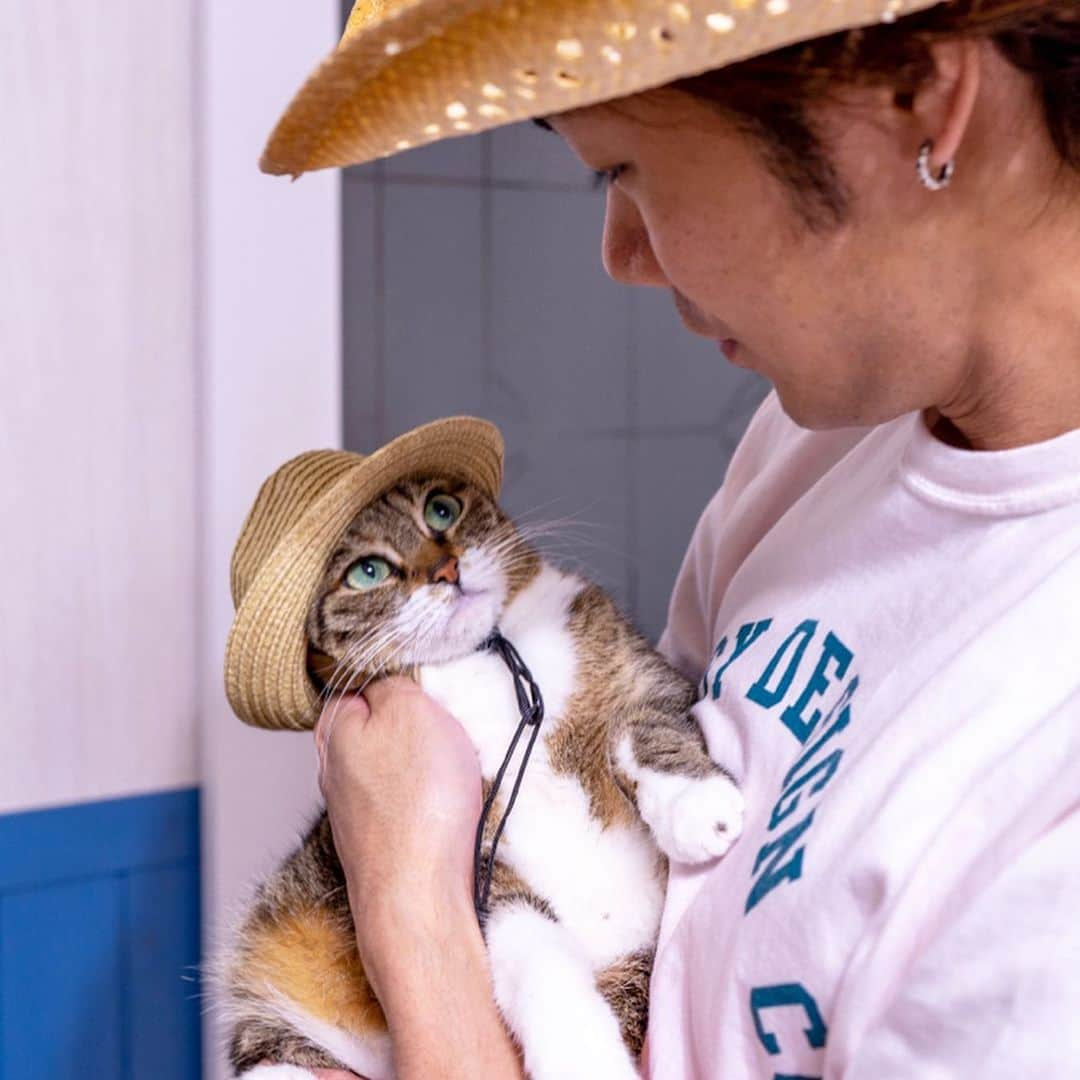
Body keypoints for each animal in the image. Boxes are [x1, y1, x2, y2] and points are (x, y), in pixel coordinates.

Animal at [219, 473, 743, 1080]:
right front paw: (584, 1058)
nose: (447, 569)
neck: (482, 660)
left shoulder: (641, 673)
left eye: (441, 510)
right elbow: (535, 951)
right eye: (366, 571)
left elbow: (646, 728)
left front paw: (699, 807)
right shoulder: (483, 865)